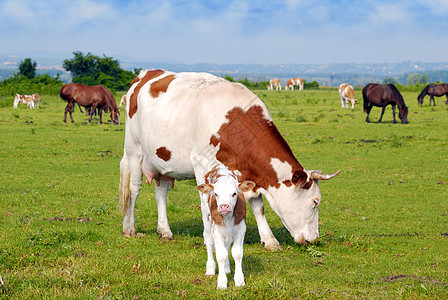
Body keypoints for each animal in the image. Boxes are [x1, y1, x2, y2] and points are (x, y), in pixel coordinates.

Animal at [119, 69, 340, 251]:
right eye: (315, 202)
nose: (314, 239)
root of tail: (145, 74)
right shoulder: (202, 166)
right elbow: (206, 205)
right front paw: (211, 238)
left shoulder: (248, 173)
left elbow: (258, 206)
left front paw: (270, 240)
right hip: (134, 151)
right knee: (134, 189)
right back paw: (129, 228)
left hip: (162, 159)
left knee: (161, 193)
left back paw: (164, 231)